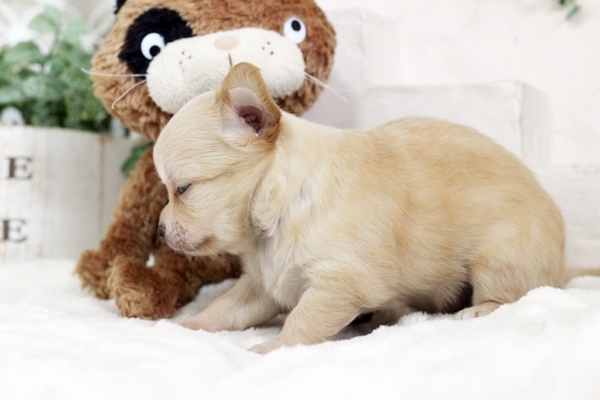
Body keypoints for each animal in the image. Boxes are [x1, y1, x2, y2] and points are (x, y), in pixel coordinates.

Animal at [154, 62, 599, 353]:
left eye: (183, 189)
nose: (158, 230)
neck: (276, 213)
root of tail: (562, 266)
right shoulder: (263, 285)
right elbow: (223, 310)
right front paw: (183, 324)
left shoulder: (337, 283)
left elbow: (301, 322)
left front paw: (268, 349)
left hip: (498, 258)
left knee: (509, 296)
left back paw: (475, 311)